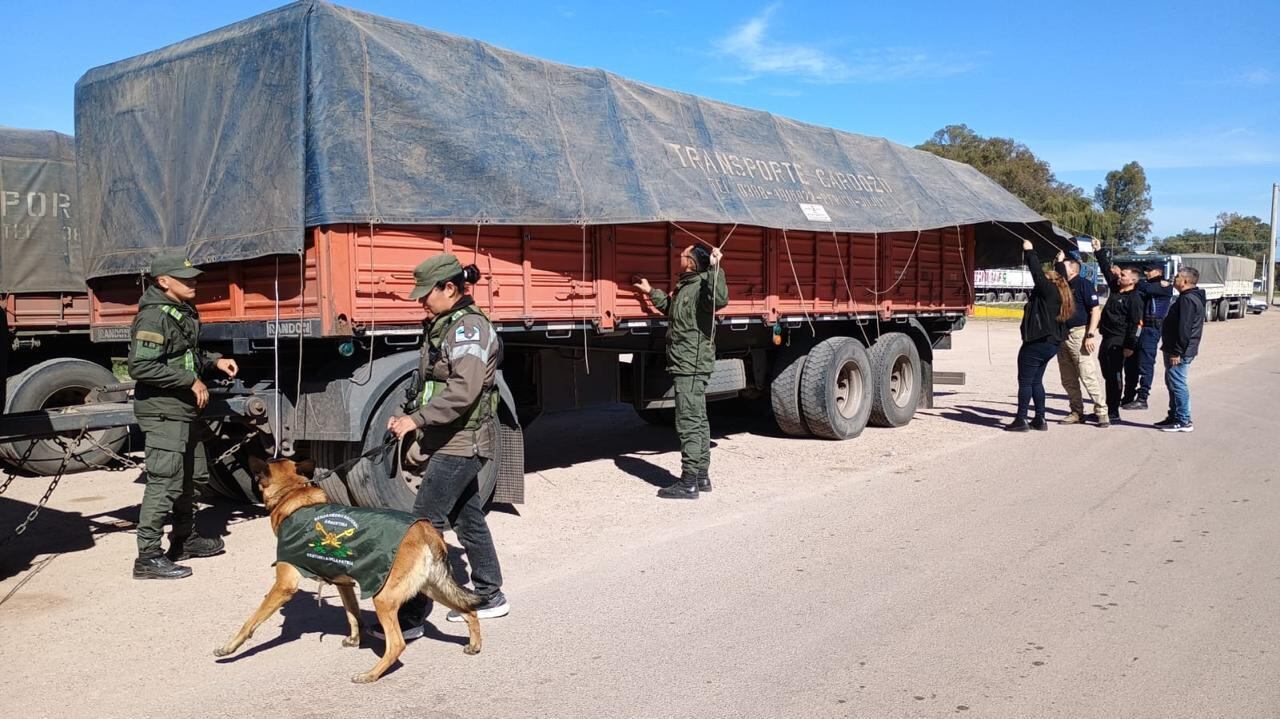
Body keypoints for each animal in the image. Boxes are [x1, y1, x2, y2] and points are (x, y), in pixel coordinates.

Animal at [216, 455, 483, 680]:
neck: (292, 494)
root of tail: (425, 528)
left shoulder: (283, 586)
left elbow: (250, 621)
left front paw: (229, 648)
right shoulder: (343, 583)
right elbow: (352, 613)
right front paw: (355, 639)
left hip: (384, 598)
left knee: (397, 644)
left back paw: (371, 675)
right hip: (431, 588)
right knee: (468, 610)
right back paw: (475, 644)